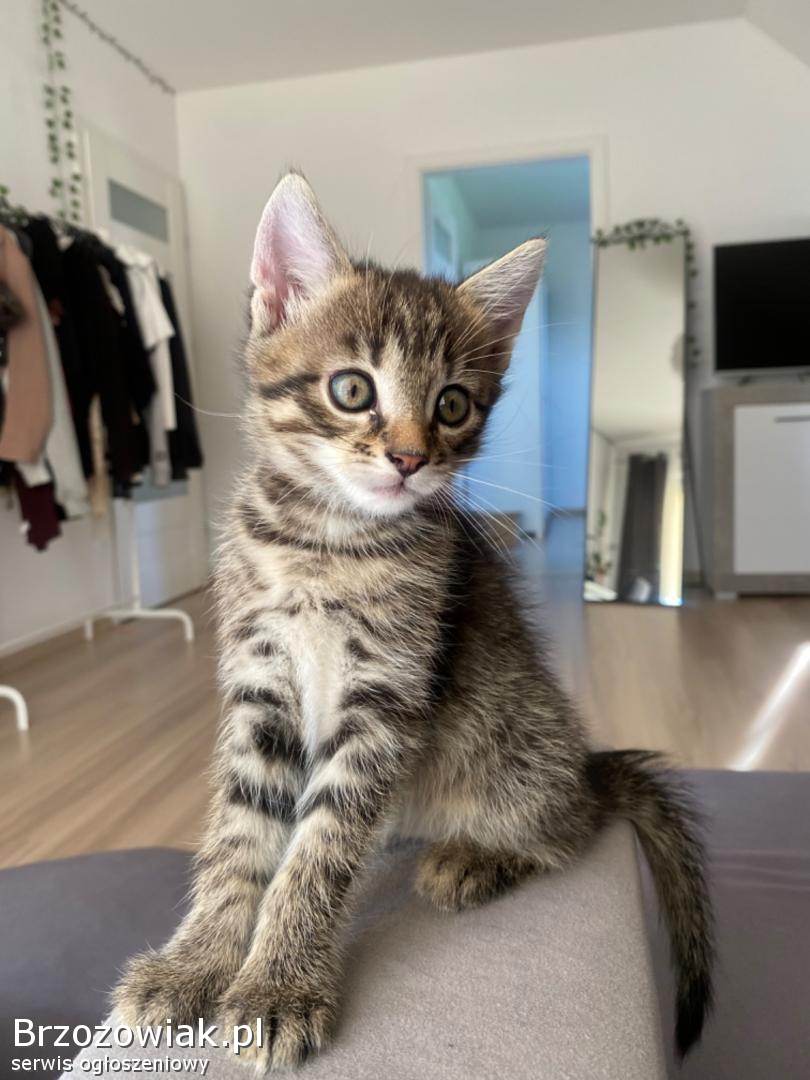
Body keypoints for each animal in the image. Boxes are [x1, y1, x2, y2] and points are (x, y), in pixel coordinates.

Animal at [114, 172, 714, 1071]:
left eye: (453, 404)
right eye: (352, 389)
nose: (409, 457)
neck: (326, 540)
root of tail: (585, 764)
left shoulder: (386, 698)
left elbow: (320, 849)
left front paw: (279, 985)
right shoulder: (261, 684)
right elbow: (239, 835)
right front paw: (198, 962)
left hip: (510, 740)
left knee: (570, 827)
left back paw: (472, 859)